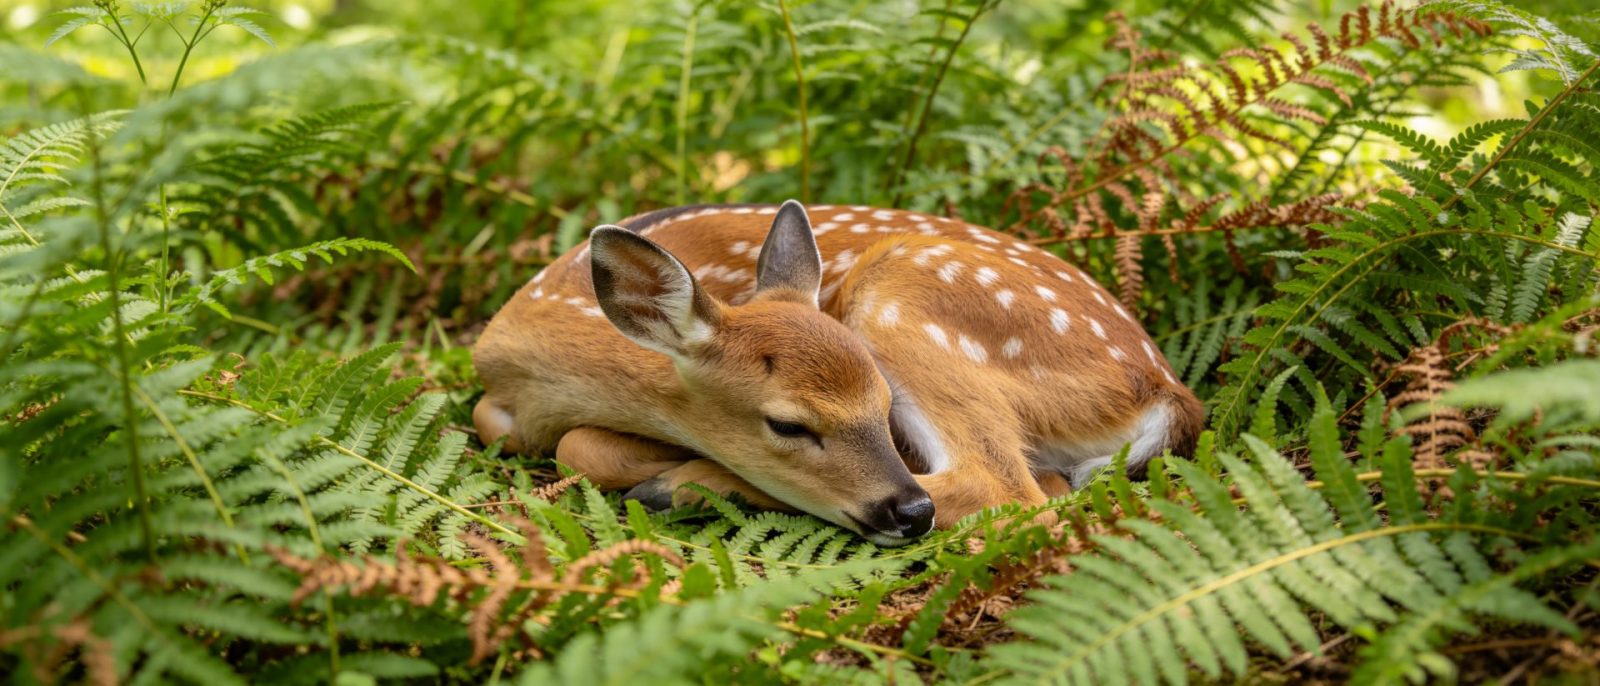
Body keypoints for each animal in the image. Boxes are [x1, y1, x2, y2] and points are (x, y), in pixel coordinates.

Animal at [472, 200, 1204, 545]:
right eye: (787, 425)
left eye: (881, 403)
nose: (906, 512)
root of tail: (1168, 392)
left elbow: (578, 446)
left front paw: (663, 471)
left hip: (902, 291)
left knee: (1004, 484)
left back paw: (681, 486)